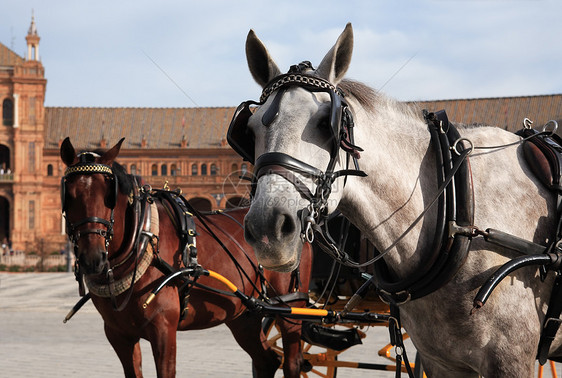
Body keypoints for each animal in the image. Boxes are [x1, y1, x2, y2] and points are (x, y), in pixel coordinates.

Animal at [61, 137, 316, 378]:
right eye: (68, 195)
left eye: (110, 195)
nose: (92, 258)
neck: (142, 243)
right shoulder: (118, 334)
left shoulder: (163, 330)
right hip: (245, 314)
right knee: (267, 361)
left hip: (291, 307)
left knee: (291, 362)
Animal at [230, 22, 560, 376]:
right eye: (249, 130)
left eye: (324, 123)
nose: (267, 228)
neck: (458, 218)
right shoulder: (442, 359)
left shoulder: (511, 358)